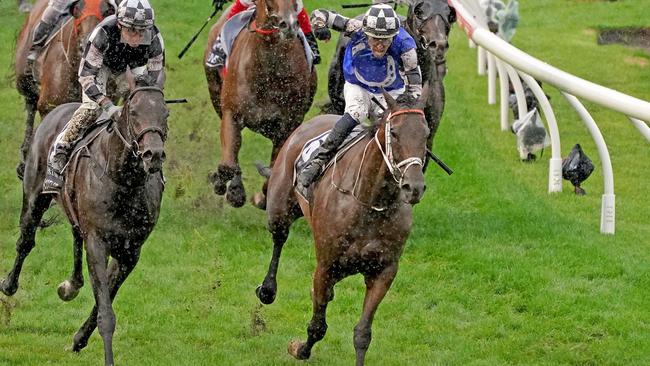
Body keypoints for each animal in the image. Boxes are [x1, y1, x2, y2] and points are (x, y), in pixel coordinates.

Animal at [0, 78, 167, 366]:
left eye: (165, 114)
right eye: (134, 113)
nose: (153, 154)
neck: (124, 183)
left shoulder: (130, 252)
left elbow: (106, 297)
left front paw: (79, 338)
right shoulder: (98, 243)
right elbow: (106, 313)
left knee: (75, 234)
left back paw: (71, 285)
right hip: (35, 195)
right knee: (26, 240)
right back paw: (10, 284)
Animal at [13, 0, 113, 179]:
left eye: (107, 10)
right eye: (77, 10)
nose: (88, 43)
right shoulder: (49, 106)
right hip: (23, 80)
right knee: (30, 103)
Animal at [202, 0, 314, 209]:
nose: (288, 24)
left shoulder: (287, 125)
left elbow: (274, 174)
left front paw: (262, 197)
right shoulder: (231, 113)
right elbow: (228, 165)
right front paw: (228, 187)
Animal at [254, 87, 430, 364]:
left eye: (426, 133)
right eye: (393, 132)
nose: (414, 187)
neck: (370, 202)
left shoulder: (384, 271)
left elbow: (363, 333)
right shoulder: (325, 266)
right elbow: (317, 326)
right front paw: (299, 349)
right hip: (279, 209)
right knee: (279, 240)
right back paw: (268, 290)